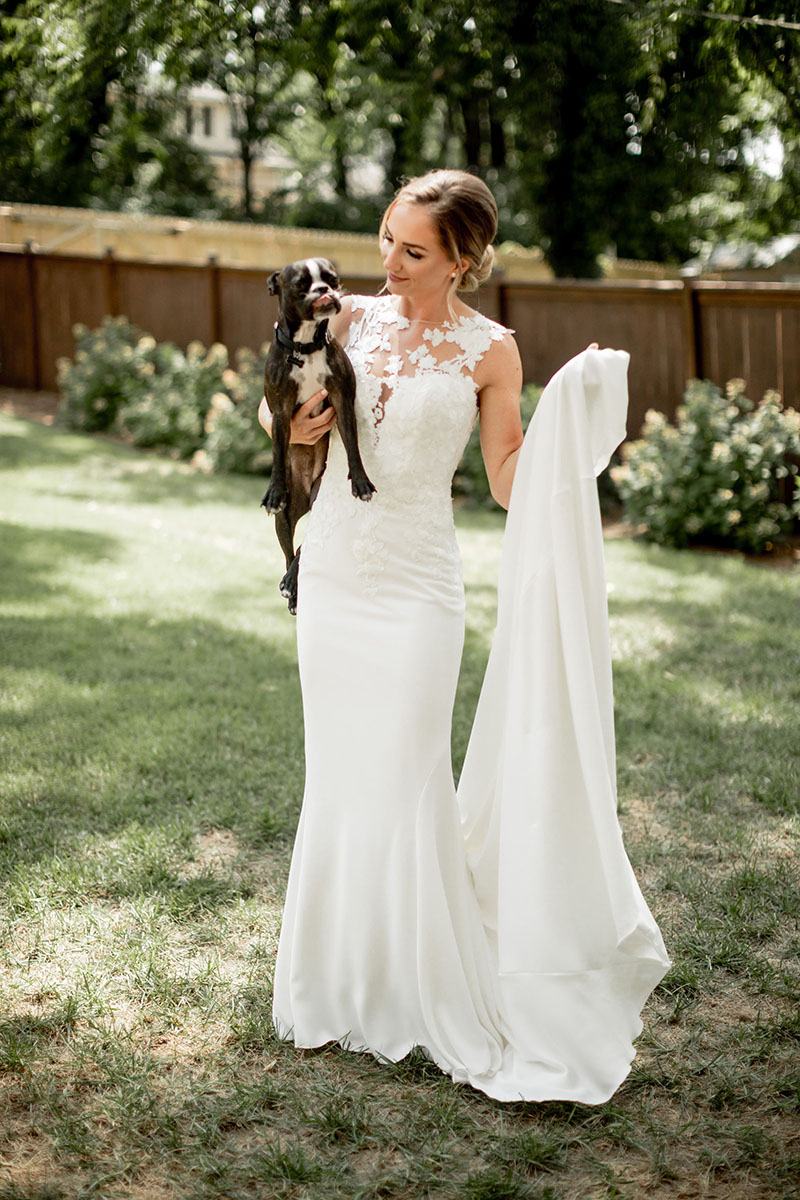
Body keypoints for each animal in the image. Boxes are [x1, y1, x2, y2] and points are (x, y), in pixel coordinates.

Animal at [261, 253, 376, 609]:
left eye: (332, 279)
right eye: (300, 284)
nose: (324, 290)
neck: (306, 348)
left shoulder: (342, 400)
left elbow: (353, 446)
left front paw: (361, 481)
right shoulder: (282, 412)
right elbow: (277, 451)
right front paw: (274, 490)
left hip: (321, 494)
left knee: (304, 547)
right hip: (284, 520)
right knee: (289, 550)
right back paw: (291, 588)